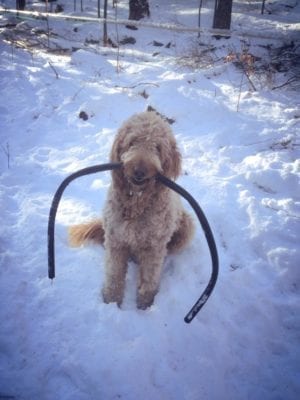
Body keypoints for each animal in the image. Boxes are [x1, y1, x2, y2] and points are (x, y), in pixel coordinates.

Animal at [68, 111, 195, 310]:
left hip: (187, 225)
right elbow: (114, 274)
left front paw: (145, 304)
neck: (137, 201)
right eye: (132, 142)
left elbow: (150, 277)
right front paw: (112, 301)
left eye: (157, 147)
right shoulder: (116, 239)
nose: (139, 171)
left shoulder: (154, 246)